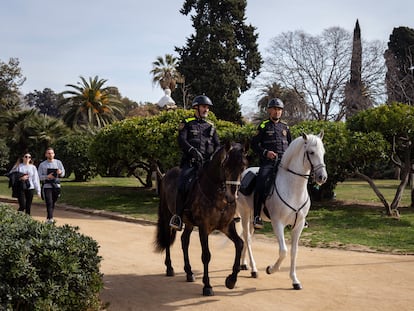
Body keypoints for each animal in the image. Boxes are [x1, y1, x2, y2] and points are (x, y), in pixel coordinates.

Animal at [154, 143, 246, 296]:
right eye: (226, 166)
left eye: (243, 166)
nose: (232, 197)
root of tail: (166, 174)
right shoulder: (204, 227)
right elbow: (206, 255)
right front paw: (207, 286)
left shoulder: (226, 226)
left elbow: (239, 244)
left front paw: (231, 280)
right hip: (167, 216)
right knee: (168, 239)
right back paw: (169, 268)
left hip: (189, 223)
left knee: (184, 240)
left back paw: (189, 272)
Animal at [236, 132, 326, 290]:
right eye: (311, 152)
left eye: (323, 152)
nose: (322, 177)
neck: (293, 189)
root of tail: (245, 172)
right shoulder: (278, 223)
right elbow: (283, 251)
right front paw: (270, 269)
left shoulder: (299, 225)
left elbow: (294, 252)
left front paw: (295, 280)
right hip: (244, 213)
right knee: (247, 237)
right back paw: (254, 269)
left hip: (253, 216)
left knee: (248, 238)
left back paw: (244, 264)